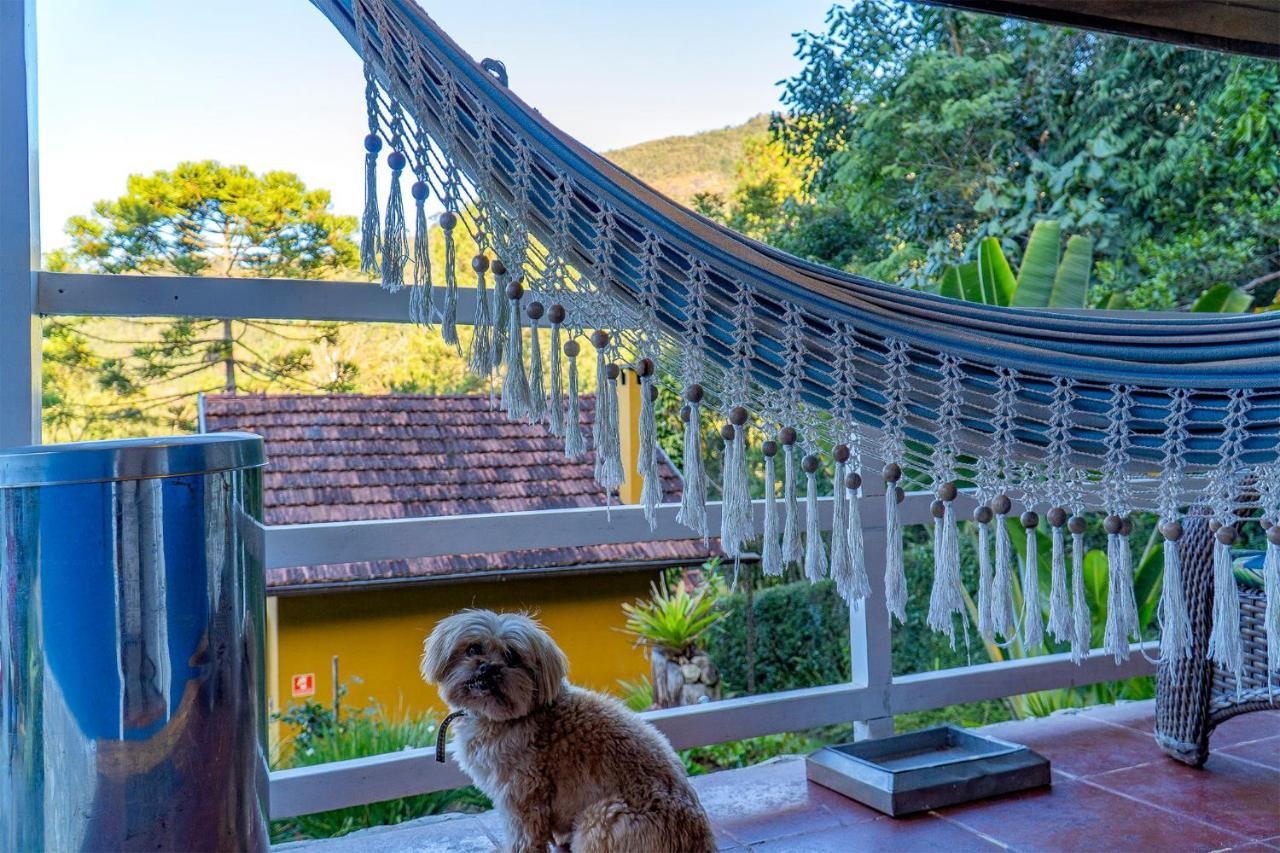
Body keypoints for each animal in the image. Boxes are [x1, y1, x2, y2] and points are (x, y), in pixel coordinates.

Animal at [424, 607, 716, 845]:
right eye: (473, 649)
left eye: (512, 657)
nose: (489, 668)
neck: (501, 718)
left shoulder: (522, 799)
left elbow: (524, 840)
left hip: (600, 818)